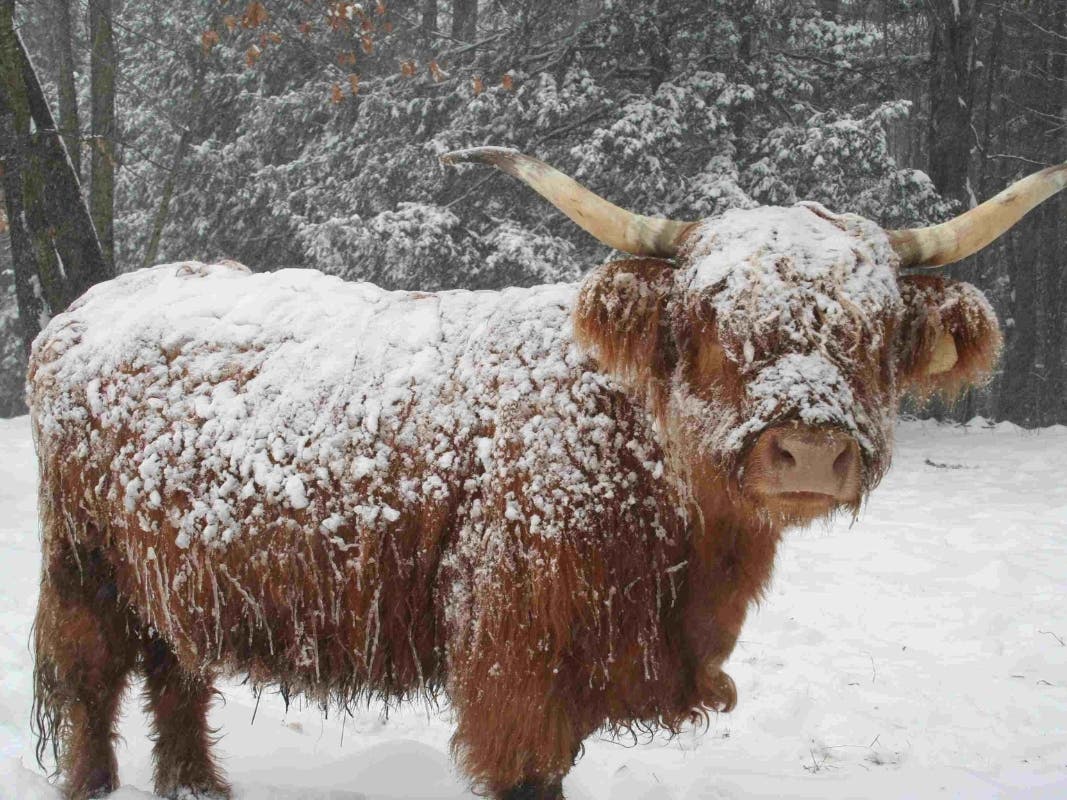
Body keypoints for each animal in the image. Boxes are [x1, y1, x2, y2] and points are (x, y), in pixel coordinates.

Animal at [26, 148, 1063, 800]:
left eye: (874, 329)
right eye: (713, 319)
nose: (808, 448)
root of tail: (85, 307)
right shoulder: (516, 653)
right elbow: (531, 774)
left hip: (180, 572)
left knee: (177, 676)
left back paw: (200, 788)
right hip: (84, 560)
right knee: (91, 680)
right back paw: (96, 787)